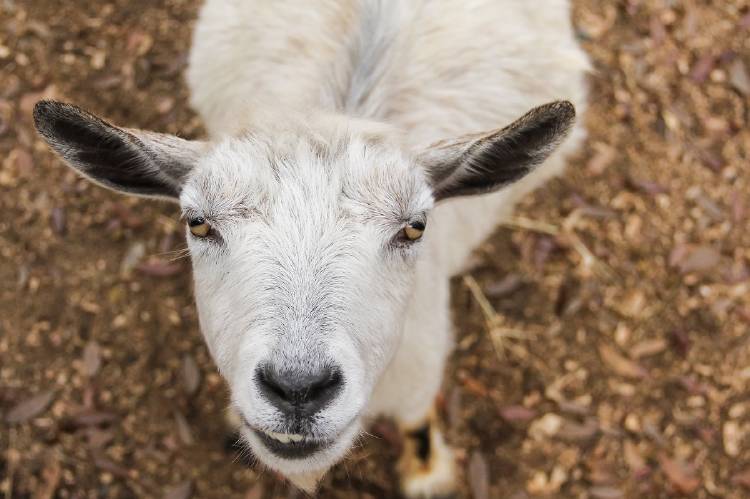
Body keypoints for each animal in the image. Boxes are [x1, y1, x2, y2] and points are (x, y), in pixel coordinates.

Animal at [32, 0, 592, 496]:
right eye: (198, 223)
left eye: (414, 227)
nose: (298, 390)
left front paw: (427, 473)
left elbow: (416, 420)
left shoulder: (422, 358)